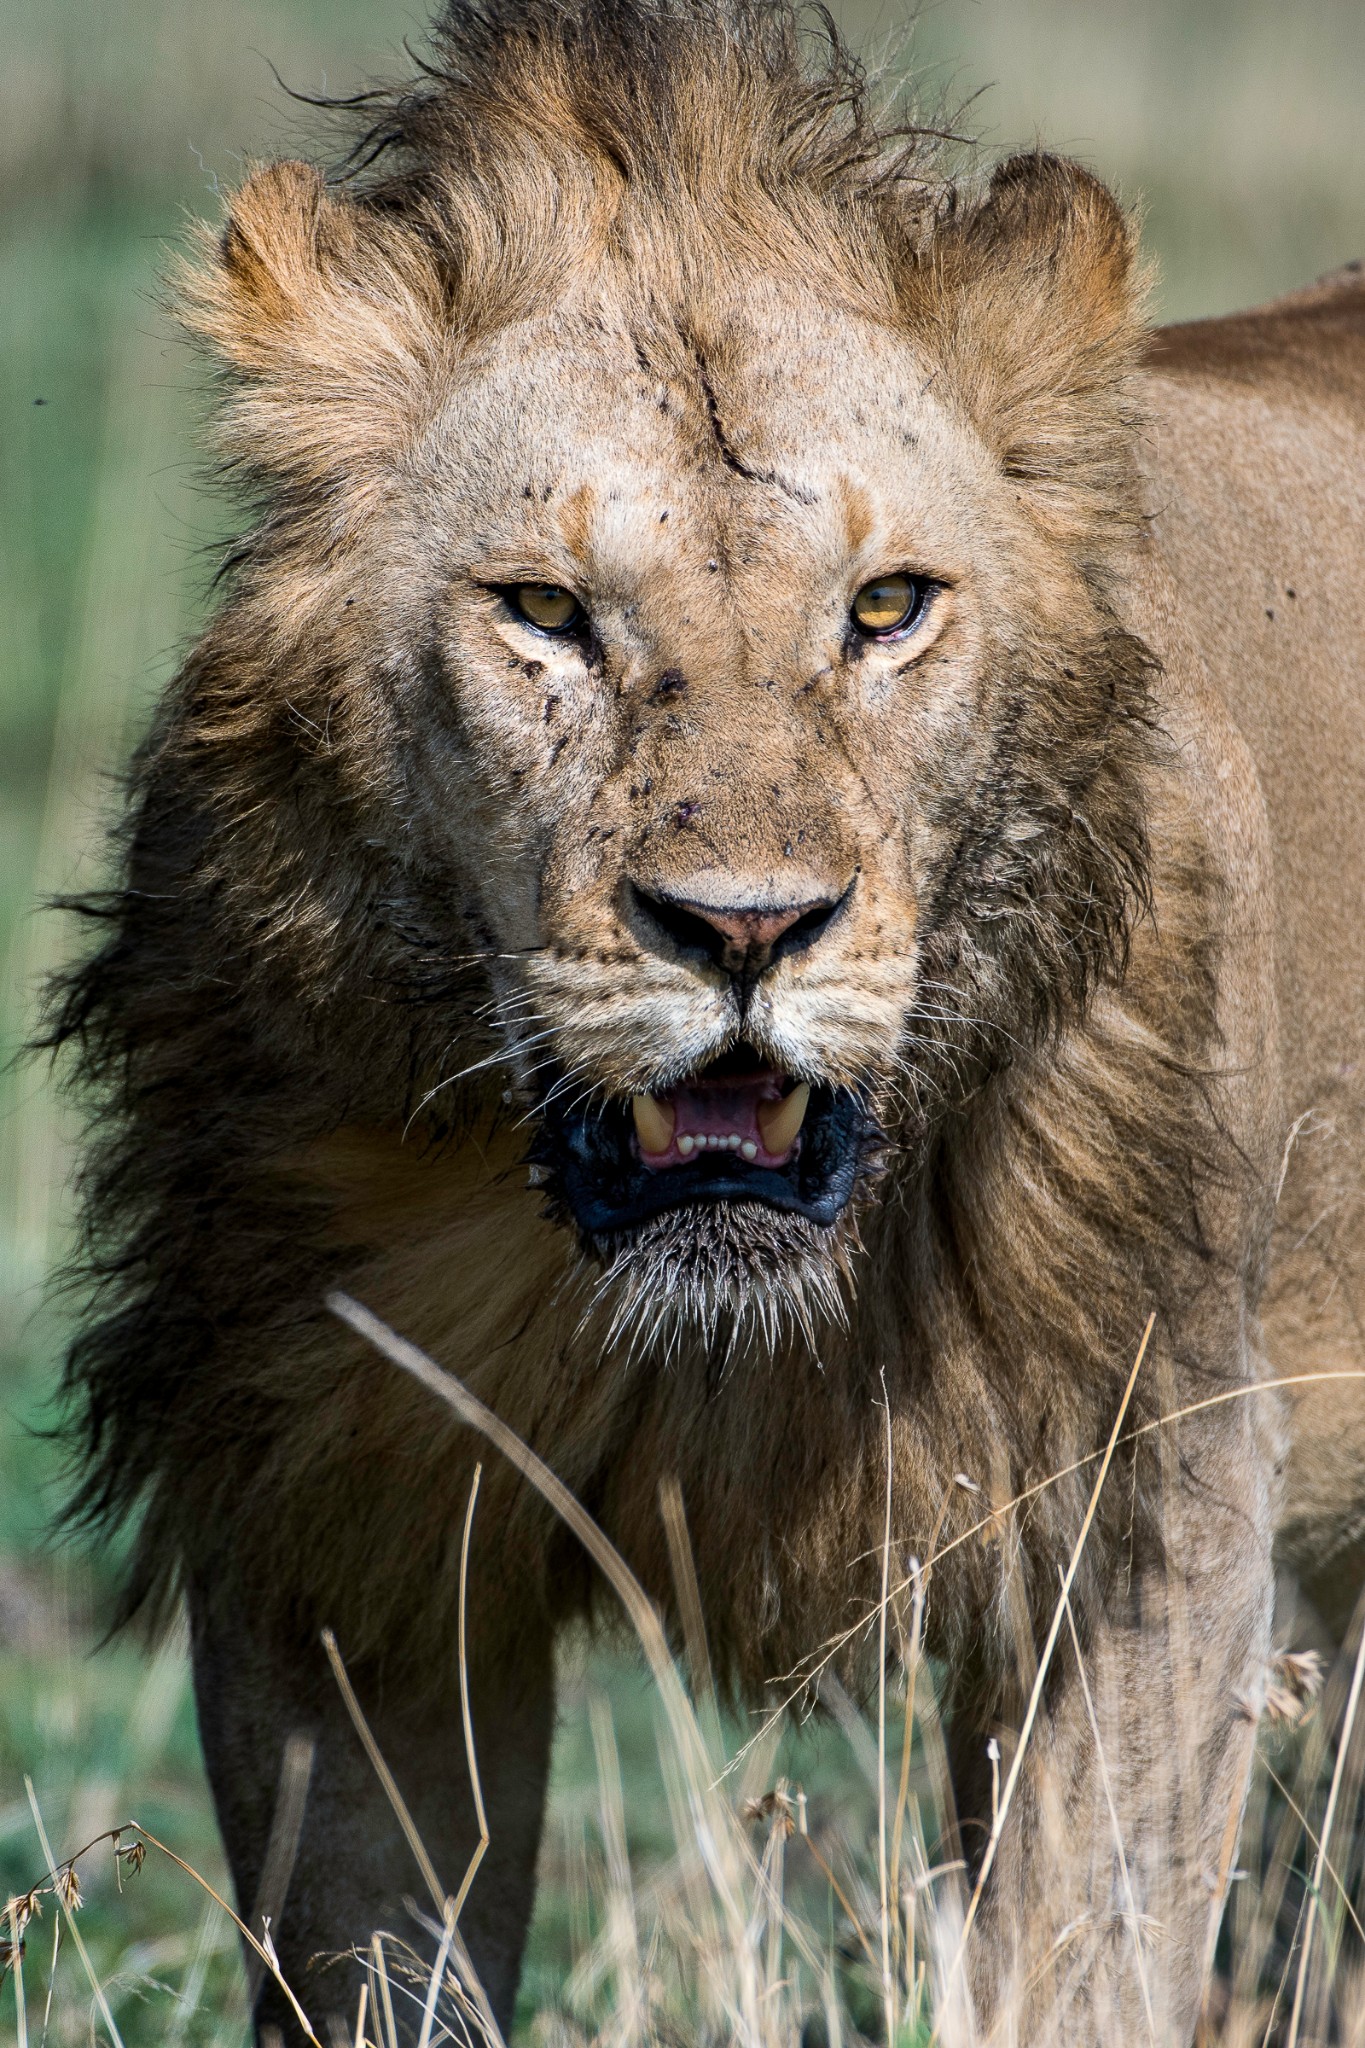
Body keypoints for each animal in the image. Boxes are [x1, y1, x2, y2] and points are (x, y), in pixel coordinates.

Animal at [48, 0, 1365, 2039]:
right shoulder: (334, 1513)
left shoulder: (1149, 1509)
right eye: (544, 609)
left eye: (886, 608)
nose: (745, 928)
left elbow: (1072, 1967)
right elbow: (374, 1955)